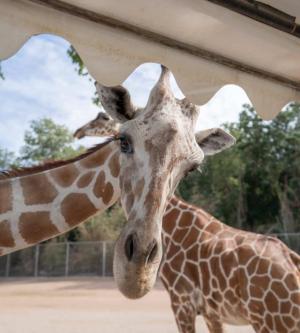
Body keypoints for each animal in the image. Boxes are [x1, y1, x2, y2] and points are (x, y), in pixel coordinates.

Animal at [74, 111, 300, 330]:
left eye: (102, 117)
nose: (78, 132)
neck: (173, 225)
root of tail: (292, 261)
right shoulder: (211, 312)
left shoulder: (181, 301)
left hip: (272, 321)